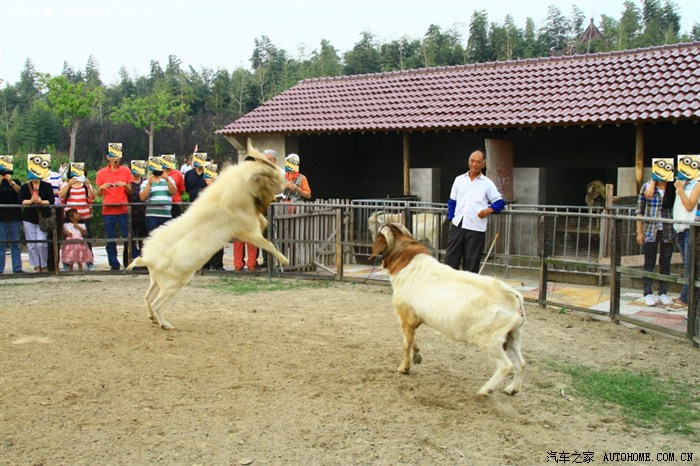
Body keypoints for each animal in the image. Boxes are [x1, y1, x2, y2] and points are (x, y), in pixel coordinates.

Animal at [127, 144, 288, 330]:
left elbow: (263, 226)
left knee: (147, 297)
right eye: (270, 177)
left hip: (156, 280)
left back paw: (153, 319)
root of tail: (148, 260)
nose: (284, 181)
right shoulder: (247, 230)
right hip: (172, 285)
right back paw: (167, 325)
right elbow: (268, 244)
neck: (239, 187)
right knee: (156, 303)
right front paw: (285, 261)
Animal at [372, 223, 524, 396]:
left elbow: (406, 343)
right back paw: (512, 388)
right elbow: (413, 339)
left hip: (490, 340)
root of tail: (514, 299)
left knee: (506, 365)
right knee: (521, 363)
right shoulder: (413, 319)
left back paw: (485, 390)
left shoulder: (405, 316)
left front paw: (404, 368)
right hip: (513, 335)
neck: (408, 263)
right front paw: (417, 356)